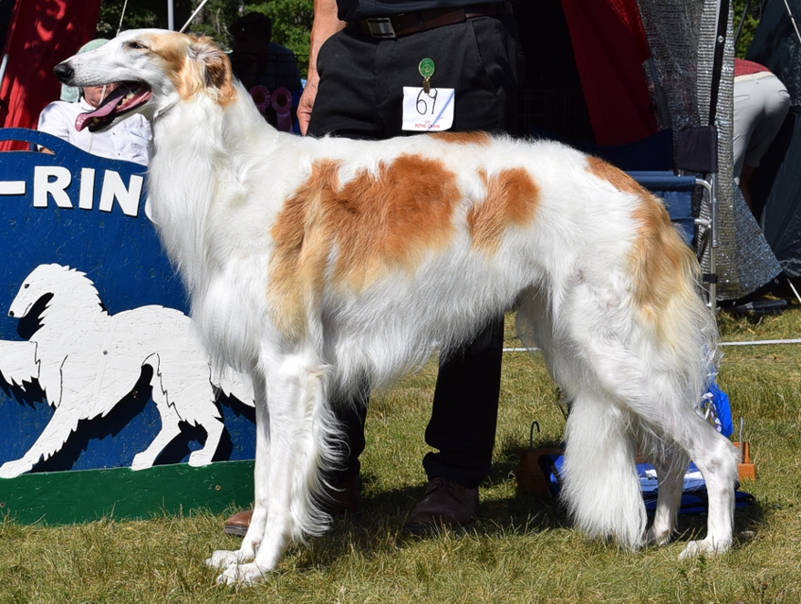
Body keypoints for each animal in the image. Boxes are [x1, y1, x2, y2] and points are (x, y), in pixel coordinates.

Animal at [56, 29, 736, 584]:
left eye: (136, 46)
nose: (64, 68)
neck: (238, 174)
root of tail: (643, 194)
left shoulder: (292, 365)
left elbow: (284, 481)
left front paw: (264, 567)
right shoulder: (263, 371)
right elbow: (264, 478)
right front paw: (242, 556)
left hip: (608, 347)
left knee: (714, 451)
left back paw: (712, 546)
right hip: (580, 343)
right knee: (671, 452)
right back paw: (661, 530)